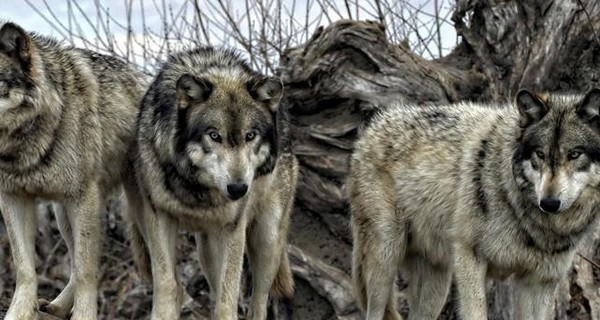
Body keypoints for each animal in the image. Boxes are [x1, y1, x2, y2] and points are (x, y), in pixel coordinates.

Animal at [0, 21, 148, 318]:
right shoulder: (13, 198)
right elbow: (25, 269)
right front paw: (18, 313)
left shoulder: (83, 199)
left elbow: (85, 271)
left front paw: (84, 315)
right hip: (62, 215)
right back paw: (56, 307)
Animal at [129, 46, 298, 318]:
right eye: (214, 135)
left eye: (250, 136)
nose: (238, 189)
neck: (196, 190)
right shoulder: (159, 216)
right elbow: (167, 285)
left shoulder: (233, 229)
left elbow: (227, 301)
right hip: (204, 249)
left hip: (266, 240)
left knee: (259, 300)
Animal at [350, 88, 600, 320]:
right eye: (540, 154)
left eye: (575, 154)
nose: (549, 203)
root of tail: (371, 129)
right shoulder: (470, 257)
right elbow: (476, 312)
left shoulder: (540, 282)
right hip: (385, 261)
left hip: (437, 285)